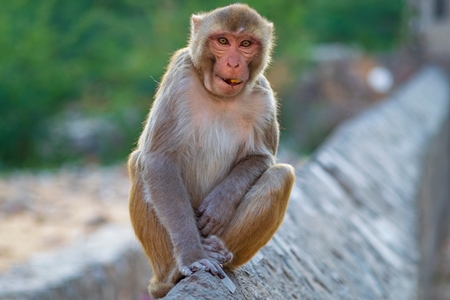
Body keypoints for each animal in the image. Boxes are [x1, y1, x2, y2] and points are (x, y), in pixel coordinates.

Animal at [128, 4, 294, 298]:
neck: (220, 97)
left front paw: (220, 203)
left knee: (281, 175)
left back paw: (219, 250)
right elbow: (159, 160)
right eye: (223, 41)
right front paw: (194, 257)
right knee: (140, 164)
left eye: (246, 44)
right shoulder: (180, 77)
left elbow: (261, 157)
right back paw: (173, 274)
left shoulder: (263, 96)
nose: (233, 63)